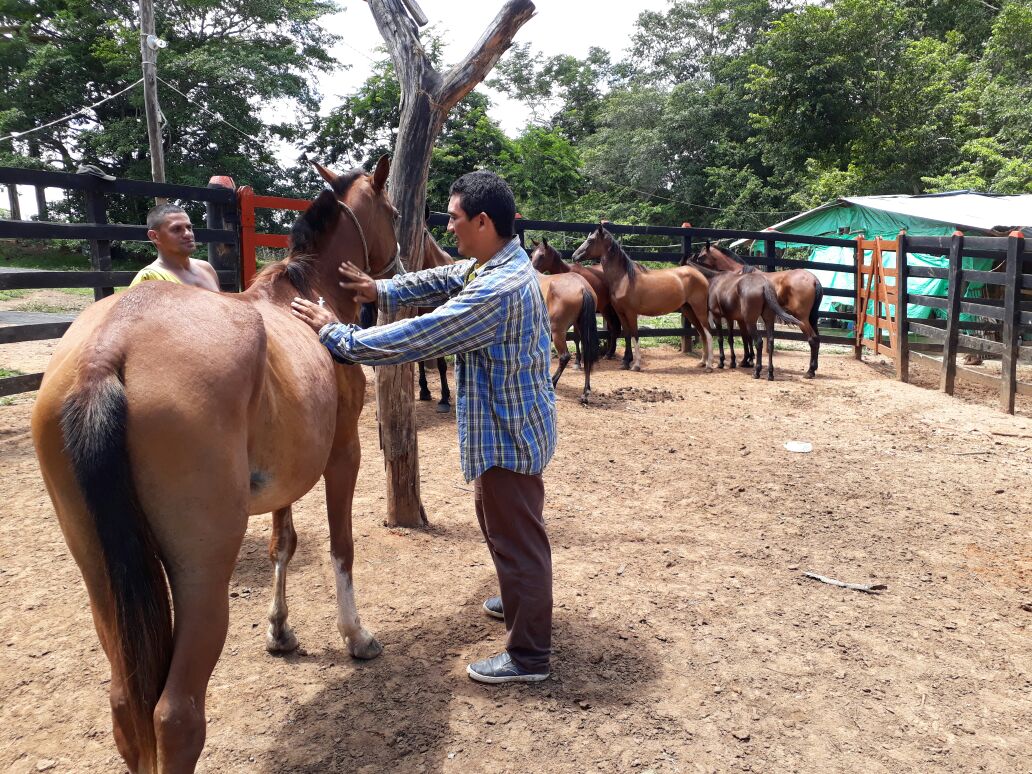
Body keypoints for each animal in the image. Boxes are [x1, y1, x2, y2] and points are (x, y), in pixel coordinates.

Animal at [30, 155, 396, 771]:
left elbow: (283, 544)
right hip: (202, 571)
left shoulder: (284, 477)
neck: (307, 296)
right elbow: (341, 547)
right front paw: (356, 636)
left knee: (126, 706)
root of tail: (108, 348)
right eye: (392, 211)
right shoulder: (343, 455)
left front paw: (280, 632)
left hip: (100, 573)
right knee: (175, 716)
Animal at [536, 270, 602, 402]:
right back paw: (585, 392)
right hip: (582, 330)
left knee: (564, 357)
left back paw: (553, 382)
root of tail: (583, 287)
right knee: (587, 356)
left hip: (558, 331)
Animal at [569, 223, 714, 373]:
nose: (574, 256)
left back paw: (709, 366)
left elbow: (635, 335)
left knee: (708, 333)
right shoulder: (621, 313)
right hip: (688, 310)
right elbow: (627, 335)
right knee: (702, 333)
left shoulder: (631, 313)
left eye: (590, 240)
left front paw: (636, 364)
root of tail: (700, 276)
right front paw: (625, 362)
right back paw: (702, 362)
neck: (624, 279)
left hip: (699, 310)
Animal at [689, 241, 825, 377]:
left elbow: (746, 337)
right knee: (817, 339)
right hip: (811, 318)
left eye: (700, 256)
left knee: (812, 340)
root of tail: (814, 280)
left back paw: (809, 371)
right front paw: (749, 360)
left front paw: (747, 360)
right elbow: (747, 337)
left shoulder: (741, 319)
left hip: (802, 319)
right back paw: (813, 368)